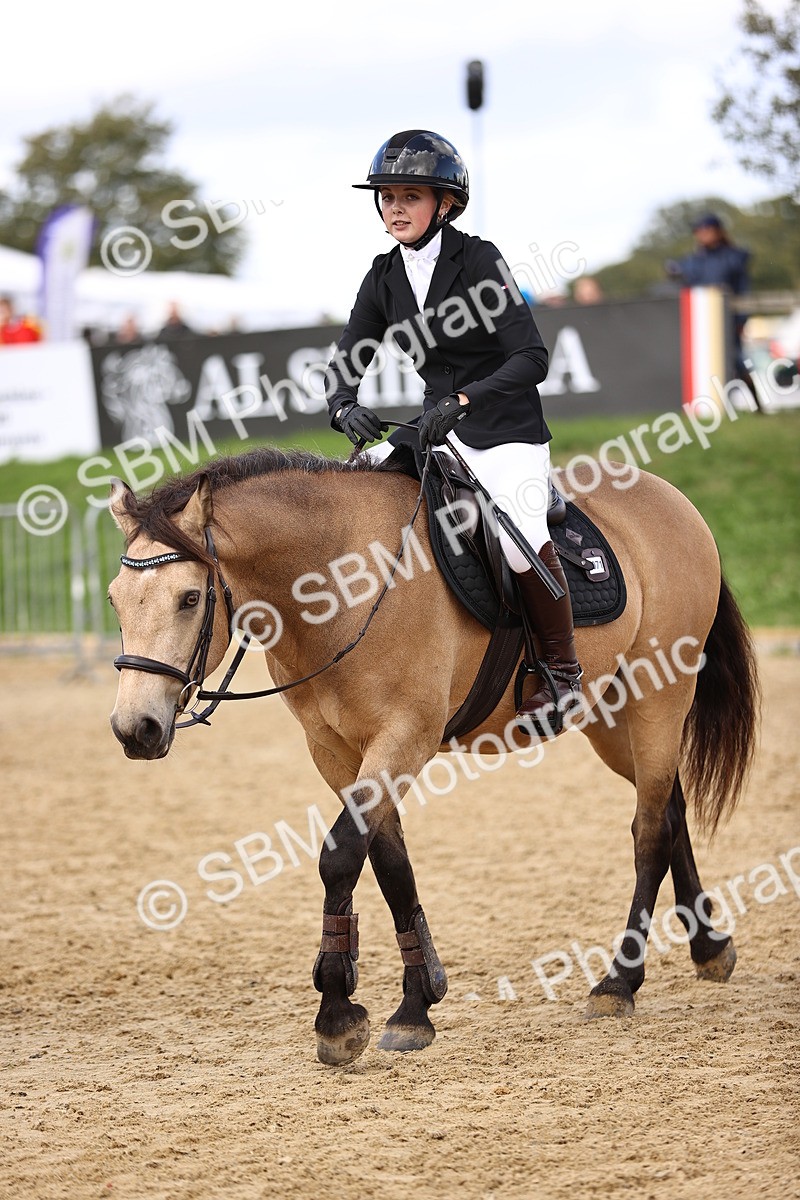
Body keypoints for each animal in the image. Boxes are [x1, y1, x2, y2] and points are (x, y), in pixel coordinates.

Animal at [107, 446, 760, 1065]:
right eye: (114, 600)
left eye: (190, 597)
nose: (135, 729)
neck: (340, 582)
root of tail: (671, 497)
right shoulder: (336, 751)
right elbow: (390, 865)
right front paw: (417, 1004)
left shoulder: (404, 738)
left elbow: (340, 857)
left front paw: (338, 1017)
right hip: (612, 718)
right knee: (669, 805)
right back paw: (709, 947)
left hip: (658, 700)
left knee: (650, 830)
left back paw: (619, 981)